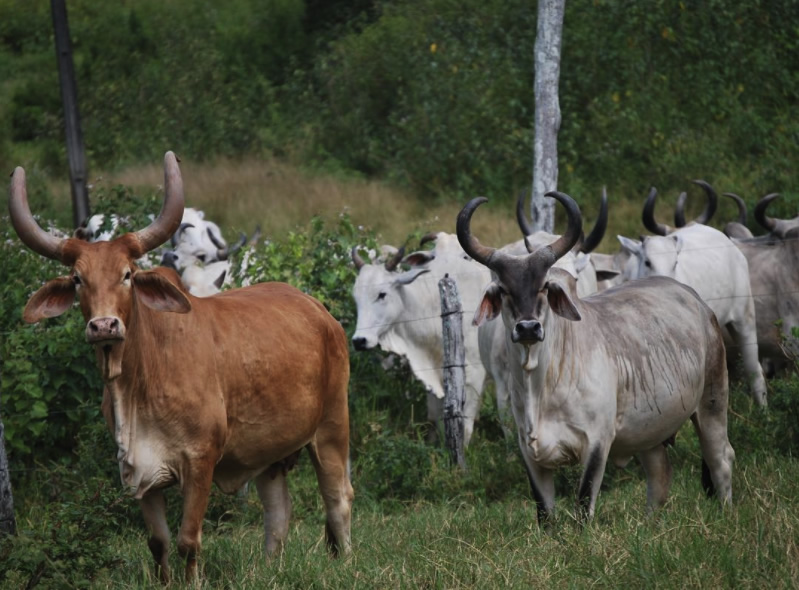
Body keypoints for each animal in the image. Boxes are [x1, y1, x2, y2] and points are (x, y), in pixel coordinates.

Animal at [8, 151, 354, 584]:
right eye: (76, 279)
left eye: (127, 275)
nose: (104, 326)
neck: (138, 383)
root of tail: (319, 311)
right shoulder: (138, 473)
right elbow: (159, 543)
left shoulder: (200, 461)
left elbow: (189, 539)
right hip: (271, 453)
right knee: (277, 513)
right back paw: (269, 569)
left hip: (332, 426)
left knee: (338, 498)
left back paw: (347, 560)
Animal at [352, 234, 490, 446]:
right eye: (356, 297)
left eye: (382, 294)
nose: (359, 340)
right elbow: (434, 416)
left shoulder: (475, 373)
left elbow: (465, 426)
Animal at [460, 193, 736, 524]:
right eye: (502, 290)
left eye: (544, 286)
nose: (527, 328)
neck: (542, 384)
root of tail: (695, 299)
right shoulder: (529, 452)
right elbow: (545, 513)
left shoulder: (597, 442)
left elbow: (582, 504)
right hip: (649, 430)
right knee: (660, 474)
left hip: (712, 401)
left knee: (721, 460)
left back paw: (726, 514)